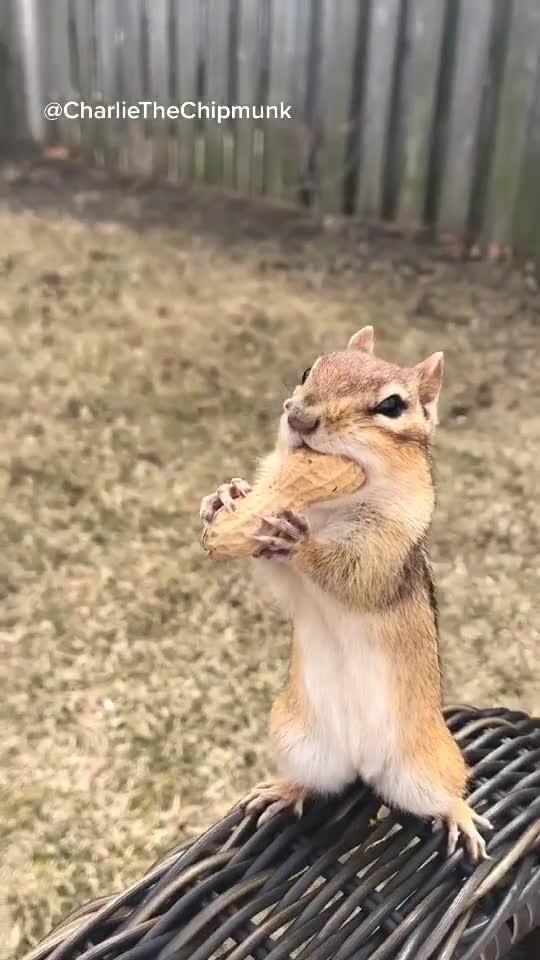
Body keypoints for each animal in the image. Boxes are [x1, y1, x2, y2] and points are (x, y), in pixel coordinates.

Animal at [200, 326, 492, 860]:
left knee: (443, 794)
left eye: (392, 405)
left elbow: (350, 574)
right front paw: (223, 500)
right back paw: (283, 790)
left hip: (424, 770)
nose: (299, 415)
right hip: (300, 743)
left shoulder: (386, 548)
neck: (328, 505)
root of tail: (362, 765)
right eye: (308, 370)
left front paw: (298, 541)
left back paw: (459, 815)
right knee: (318, 784)